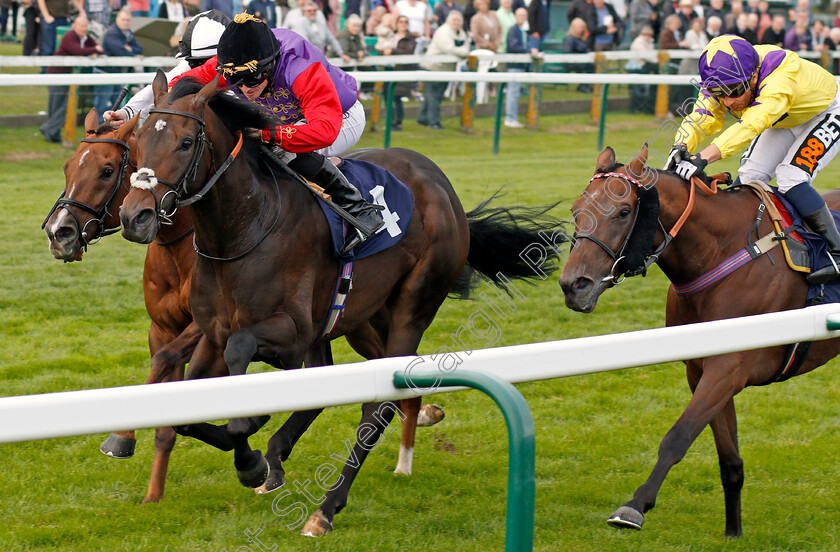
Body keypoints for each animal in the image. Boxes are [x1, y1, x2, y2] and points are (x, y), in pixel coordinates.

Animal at [116, 73, 564, 536]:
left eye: (186, 142)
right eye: (138, 139)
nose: (135, 216)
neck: (242, 230)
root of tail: (442, 185)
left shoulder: (289, 335)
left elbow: (243, 356)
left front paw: (250, 452)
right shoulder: (212, 333)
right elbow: (188, 412)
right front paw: (258, 449)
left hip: (412, 306)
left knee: (378, 403)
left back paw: (324, 509)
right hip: (358, 318)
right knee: (342, 384)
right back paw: (284, 456)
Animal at [556, 144, 840, 536]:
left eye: (624, 211)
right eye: (576, 210)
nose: (573, 286)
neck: (721, 252)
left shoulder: (728, 368)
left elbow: (678, 436)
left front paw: (633, 506)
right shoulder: (701, 368)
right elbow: (730, 461)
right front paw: (733, 532)